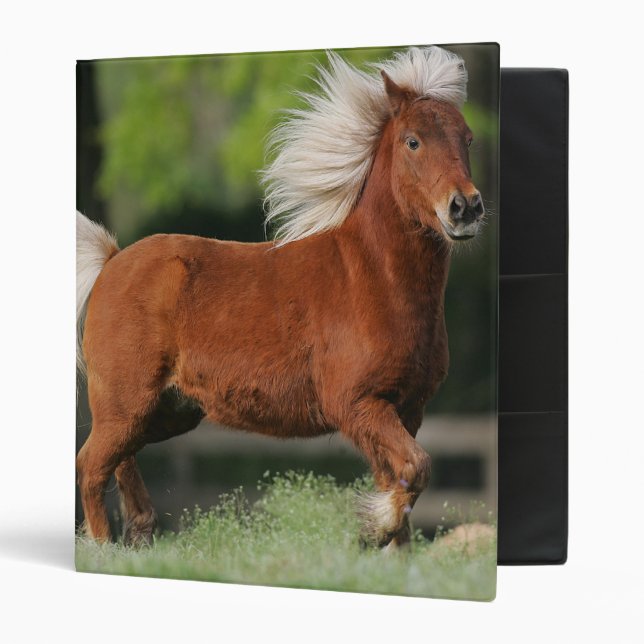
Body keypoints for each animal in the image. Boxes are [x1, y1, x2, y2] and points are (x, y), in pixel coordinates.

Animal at [76, 46, 485, 549]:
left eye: (468, 139)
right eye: (413, 142)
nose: (465, 208)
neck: (373, 279)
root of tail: (111, 261)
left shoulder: (406, 409)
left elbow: (403, 480)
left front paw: (389, 546)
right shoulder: (358, 405)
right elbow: (416, 468)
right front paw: (373, 526)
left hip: (165, 412)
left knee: (121, 461)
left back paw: (140, 533)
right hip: (125, 405)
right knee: (91, 466)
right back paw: (103, 548)